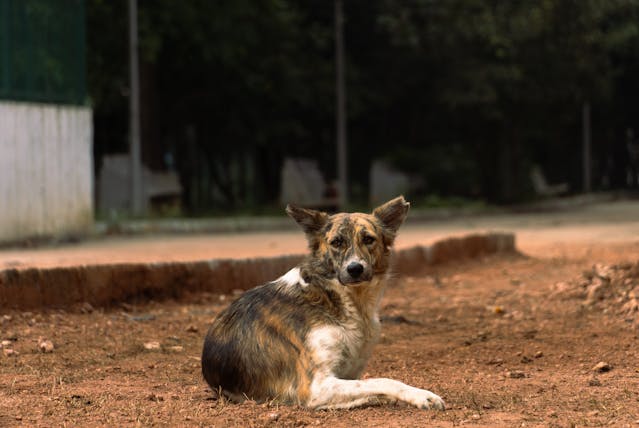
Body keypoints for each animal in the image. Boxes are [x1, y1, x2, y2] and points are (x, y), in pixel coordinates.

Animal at [201, 197, 444, 412]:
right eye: (336, 242)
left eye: (368, 239)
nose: (355, 269)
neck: (337, 298)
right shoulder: (316, 387)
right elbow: (383, 380)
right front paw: (422, 396)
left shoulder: (346, 375)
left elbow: (370, 385)